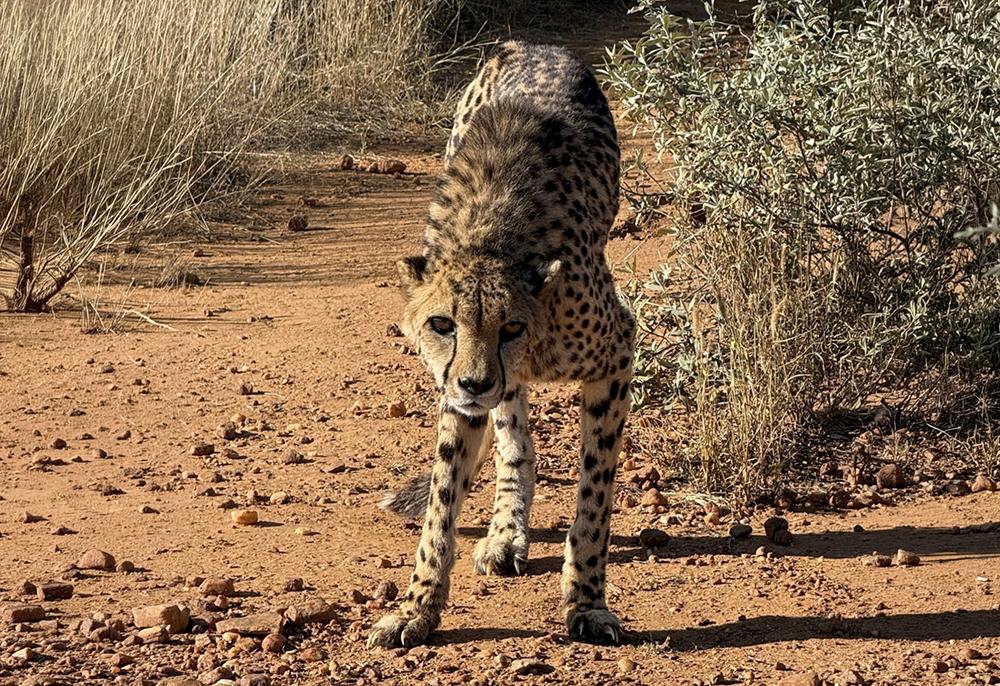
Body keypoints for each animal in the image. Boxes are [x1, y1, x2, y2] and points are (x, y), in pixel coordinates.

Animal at [367, 40, 634, 649]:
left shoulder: (617, 350)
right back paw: (506, 531)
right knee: (514, 437)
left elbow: (594, 497)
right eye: (442, 324)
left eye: (510, 327)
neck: (490, 239)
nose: (475, 381)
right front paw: (418, 607)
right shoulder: (459, 396)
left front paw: (586, 601)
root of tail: (533, 44)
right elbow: (441, 500)